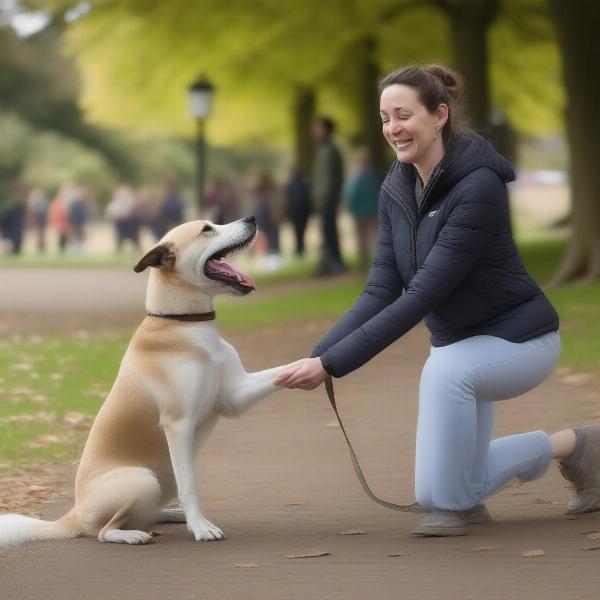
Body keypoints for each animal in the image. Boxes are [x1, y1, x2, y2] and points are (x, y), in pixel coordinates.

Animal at [0, 218, 288, 548]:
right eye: (207, 229)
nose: (251, 219)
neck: (182, 323)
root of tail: (73, 517)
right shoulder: (178, 424)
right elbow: (191, 485)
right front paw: (201, 528)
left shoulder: (233, 397)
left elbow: (282, 371)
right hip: (142, 479)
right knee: (104, 531)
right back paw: (133, 534)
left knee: (148, 513)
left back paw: (172, 514)